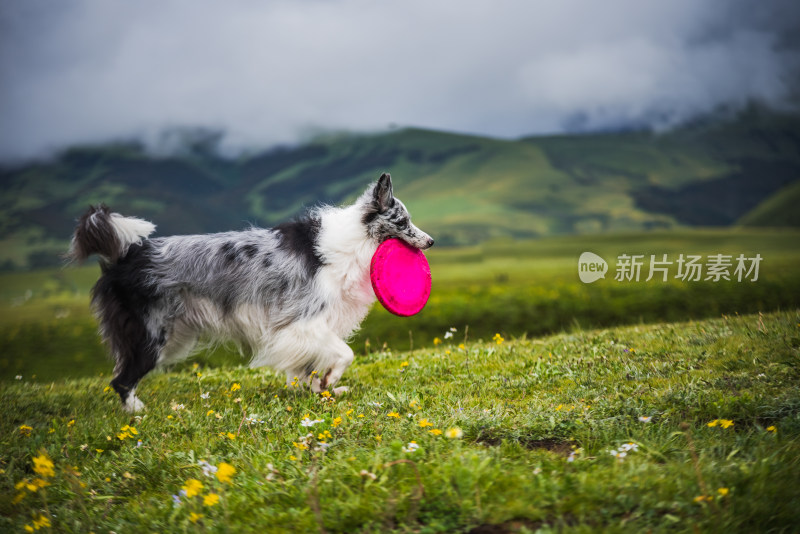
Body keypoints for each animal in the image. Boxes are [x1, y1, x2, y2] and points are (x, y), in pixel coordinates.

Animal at [70, 176, 432, 414]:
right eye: (402, 221)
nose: (430, 242)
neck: (356, 239)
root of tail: (127, 254)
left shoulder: (317, 326)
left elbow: (312, 368)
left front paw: (321, 390)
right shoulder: (302, 323)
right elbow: (345, 354)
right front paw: (330, 380)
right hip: (152, 335)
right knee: (121, 380)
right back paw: (136, 412)